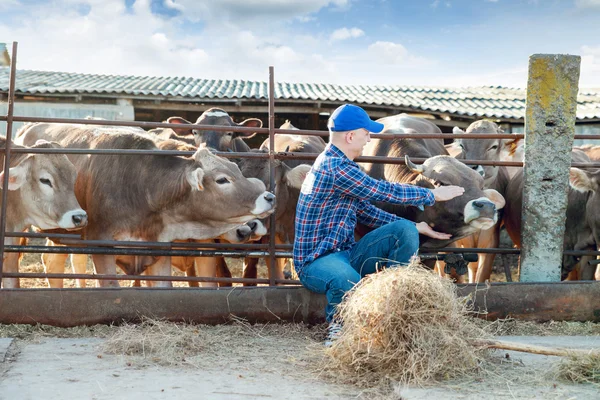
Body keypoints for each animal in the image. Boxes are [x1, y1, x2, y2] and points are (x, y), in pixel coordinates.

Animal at [15, 123, 276, 286]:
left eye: (238, 170)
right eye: (222, 179)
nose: (269, 197)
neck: (142, 186)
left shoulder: (160, 252)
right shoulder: (101, 245)